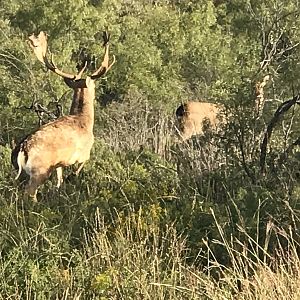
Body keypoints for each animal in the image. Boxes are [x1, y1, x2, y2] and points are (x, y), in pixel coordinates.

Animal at [11, 30, 115, 200]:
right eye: (94, 85)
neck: (84, 120)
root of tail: (22, 148)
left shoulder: (60, 163)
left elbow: (59, 180)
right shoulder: (83, 153)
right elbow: (78, 169)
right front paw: (72, 179)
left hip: (22, 171)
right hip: (40, 169)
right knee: (30, 192)